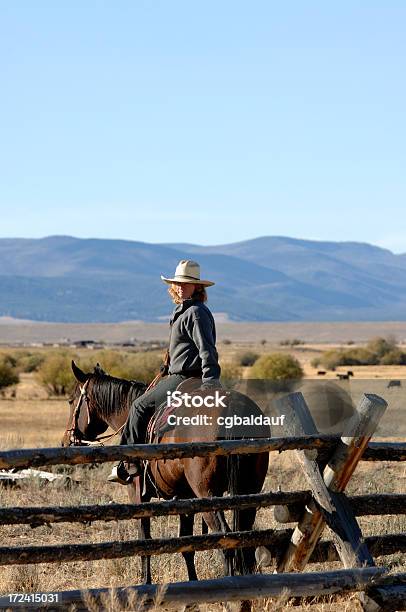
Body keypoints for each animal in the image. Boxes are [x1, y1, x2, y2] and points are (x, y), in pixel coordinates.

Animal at [62, 360, 270, 596]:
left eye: (71, 401)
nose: (65, 441)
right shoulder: (185, 497)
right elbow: (187, 544)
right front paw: (192, 583)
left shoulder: (138, 495)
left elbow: (145, 541)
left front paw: (146, 582)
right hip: (249, 491)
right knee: (246, 537)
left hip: (209, 494)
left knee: (226, 539)